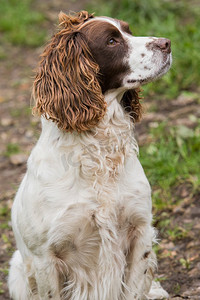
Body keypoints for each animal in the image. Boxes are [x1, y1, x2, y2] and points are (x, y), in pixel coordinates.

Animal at [8, 10, 172, 300]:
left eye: (129, 31)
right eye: (111, 41)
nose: (167, 43)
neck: (99, 152)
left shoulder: (140, 232)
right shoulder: (45, 258)